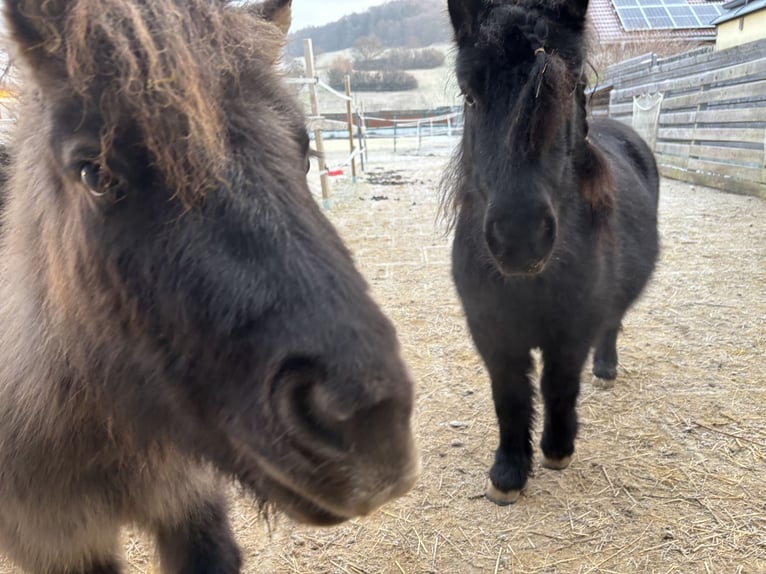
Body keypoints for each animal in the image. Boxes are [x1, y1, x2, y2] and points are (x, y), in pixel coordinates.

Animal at [448, 0, 664, 504]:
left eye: (572, 88)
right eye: (469, 96)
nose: (520, 237)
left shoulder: (572, 330)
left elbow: (558, 385)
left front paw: (557, 449)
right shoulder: (492, 332)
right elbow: (509, 395)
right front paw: (508, 473)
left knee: (612, 325)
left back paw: (605, 370)